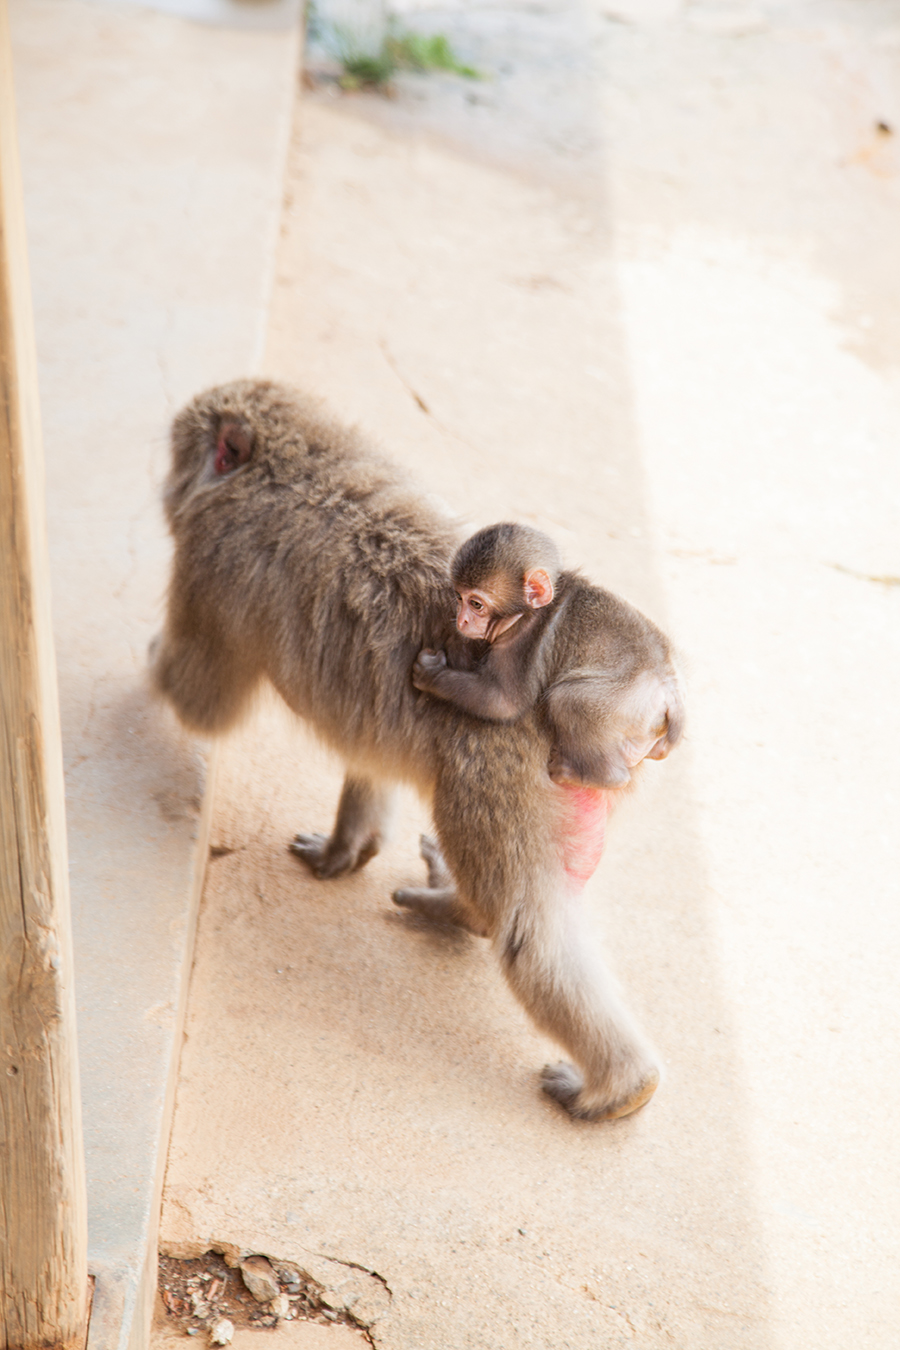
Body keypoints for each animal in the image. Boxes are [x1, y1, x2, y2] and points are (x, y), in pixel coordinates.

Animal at [410, 518, 682, 788]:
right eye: (459, 597)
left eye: (476, 604)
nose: (461, 620)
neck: (531, 611)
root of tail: (668, 687)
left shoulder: (523, 641)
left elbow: (503, 702)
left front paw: (430, 674)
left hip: (625, 701)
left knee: (570, 700)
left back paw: (594, 775)